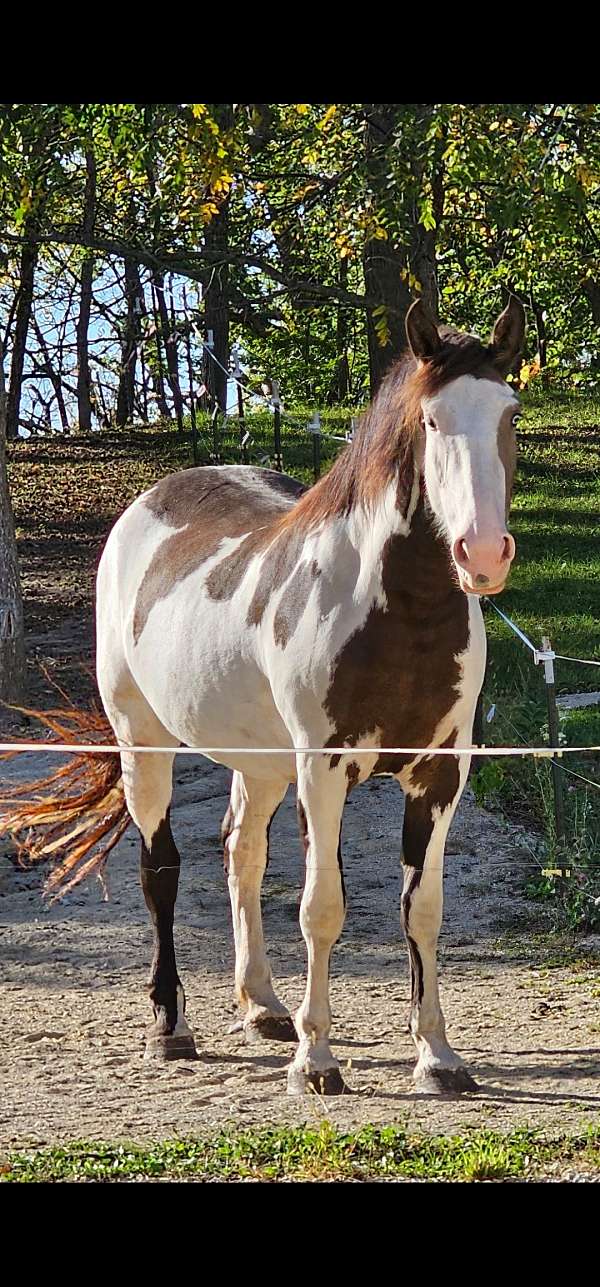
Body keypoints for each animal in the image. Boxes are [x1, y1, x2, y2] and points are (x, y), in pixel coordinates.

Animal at [2, 296, 525, 1096]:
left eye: (509, 414)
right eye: (433, 420)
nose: (484, 553)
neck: (398, 613)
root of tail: (145, 506)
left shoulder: (440, 772)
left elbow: (423, 909)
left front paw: (436, 1056)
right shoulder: (324, 769)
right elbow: (321, 908)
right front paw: (317, 1060)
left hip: (260, 761)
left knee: (241, 853)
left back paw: (263, 1006)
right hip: (144, 742)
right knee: (161, 870)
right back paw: (172, 1026)